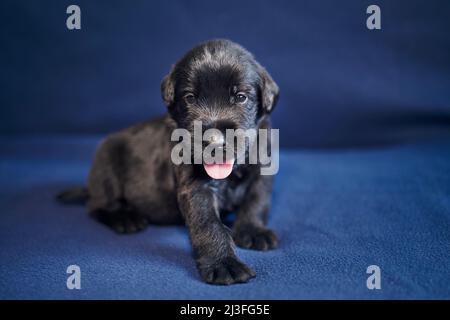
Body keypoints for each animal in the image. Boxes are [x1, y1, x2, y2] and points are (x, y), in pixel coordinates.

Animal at [58, 39, 280, 284]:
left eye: (241, 96)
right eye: (190, 97)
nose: (214, 141)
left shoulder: (262, 171)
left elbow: (256, 201)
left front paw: (253, 231)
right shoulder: (196, 188)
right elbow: (209, 224)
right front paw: (224, 263)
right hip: (107, 166)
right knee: (97, 206)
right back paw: (125, 218)